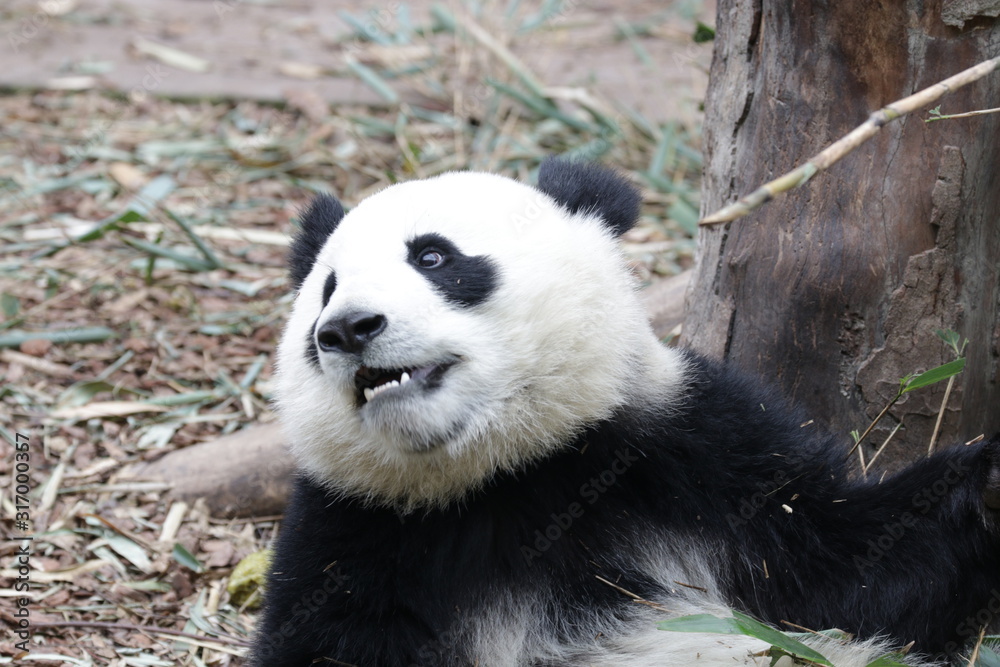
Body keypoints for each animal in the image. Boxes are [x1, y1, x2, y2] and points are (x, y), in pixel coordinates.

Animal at [254, 159, 1000, 667]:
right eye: (327, 288)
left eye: (433, 255)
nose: (346, 329)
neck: (504, 474)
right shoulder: (355, 530)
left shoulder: (690, 454)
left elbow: (846, 577)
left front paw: (989, 483)